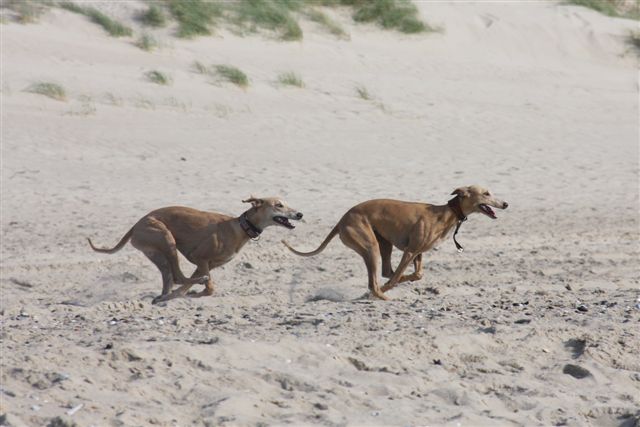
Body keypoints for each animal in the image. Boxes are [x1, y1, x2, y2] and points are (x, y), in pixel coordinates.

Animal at [88, 197, 303, 304]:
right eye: (279, 205)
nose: (300, 214)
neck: (240, 226)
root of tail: (136, 225)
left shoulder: (205, 265)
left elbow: (191, 289)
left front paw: (175, 296)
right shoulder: (199, 258)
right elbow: (208, 289)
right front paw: (194, 292)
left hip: (159, 253)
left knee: (171, 278)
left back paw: (164, 295)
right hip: (167, 241)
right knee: (178, 276)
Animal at [282, 185, 508, 300]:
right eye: (486, 193)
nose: (505, 203)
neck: (446, 213)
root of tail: (341, 220)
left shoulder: (418, 252)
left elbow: (416, 274)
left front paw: (404, 280)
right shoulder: (410, 250)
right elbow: (397, 276)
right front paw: (390, 286)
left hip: (384, 244)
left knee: (385, 272)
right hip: (371, 247)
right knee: (375, 283)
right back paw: (381, 296)